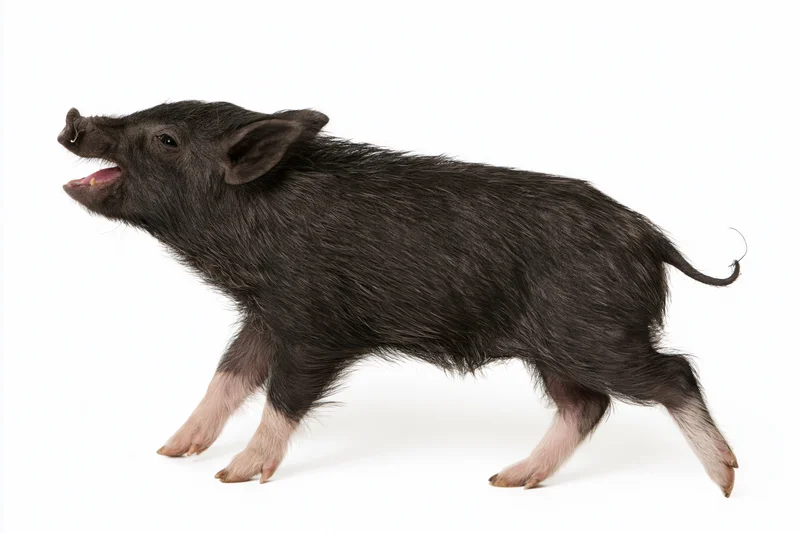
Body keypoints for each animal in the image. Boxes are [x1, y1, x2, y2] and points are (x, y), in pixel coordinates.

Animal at [58, 101, 741, 496]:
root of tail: (651, 237)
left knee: (672, 374)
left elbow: (282, 394)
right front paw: (172, 450)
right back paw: (507, 481)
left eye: (166, 139)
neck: (251, 226)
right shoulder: (265, 316)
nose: (73, 118)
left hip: (592, 332)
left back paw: (726, 483)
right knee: (587, 406)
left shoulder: (313, 323)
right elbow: (227, 374)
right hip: (558, 348)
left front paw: (234, 477)